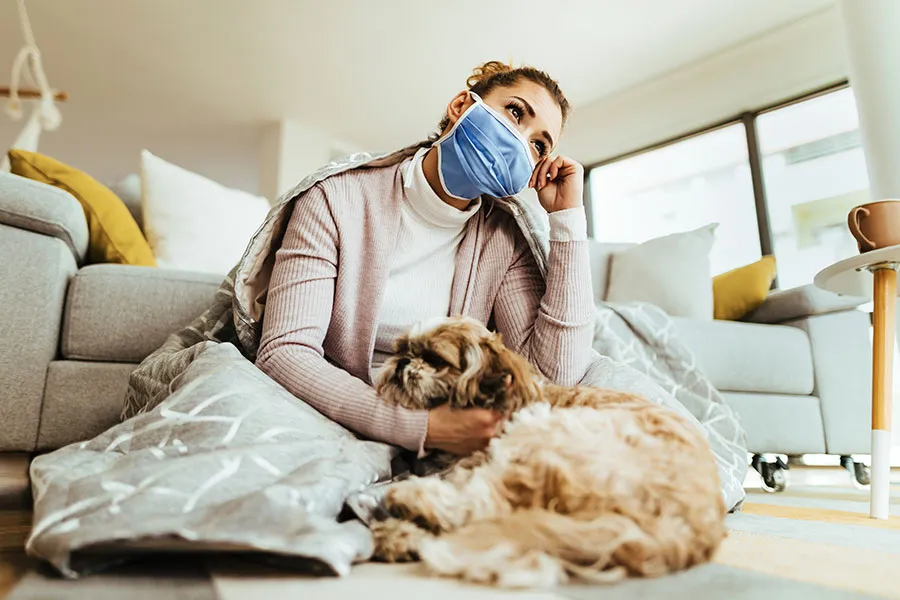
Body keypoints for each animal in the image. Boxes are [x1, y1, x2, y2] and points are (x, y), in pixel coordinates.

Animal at [370, 316, 728, 588]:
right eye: (401, 349)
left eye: (435, 360)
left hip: (543, 435)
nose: (403, 362)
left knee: (485, 504)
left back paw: (408, 501)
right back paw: (398, 535)